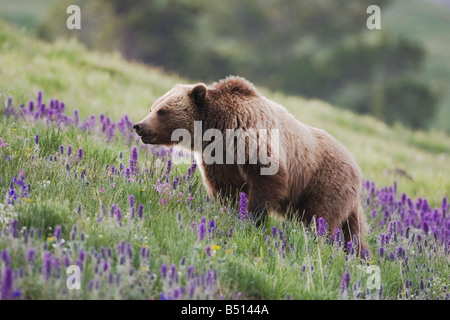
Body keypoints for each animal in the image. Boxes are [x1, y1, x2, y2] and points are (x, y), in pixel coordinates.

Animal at [134, 76, 370, 254]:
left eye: (162, 111)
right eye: (152, 108)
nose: (139, 126)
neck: (218, 127)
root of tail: (357, 169)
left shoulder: (248, 134)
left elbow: (266, 178)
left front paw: (252, 218)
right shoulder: (219, 156)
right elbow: (226, 189)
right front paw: (228, 211)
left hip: (324, 181)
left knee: (319, 217)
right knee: (352, 232)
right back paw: (358, 255)